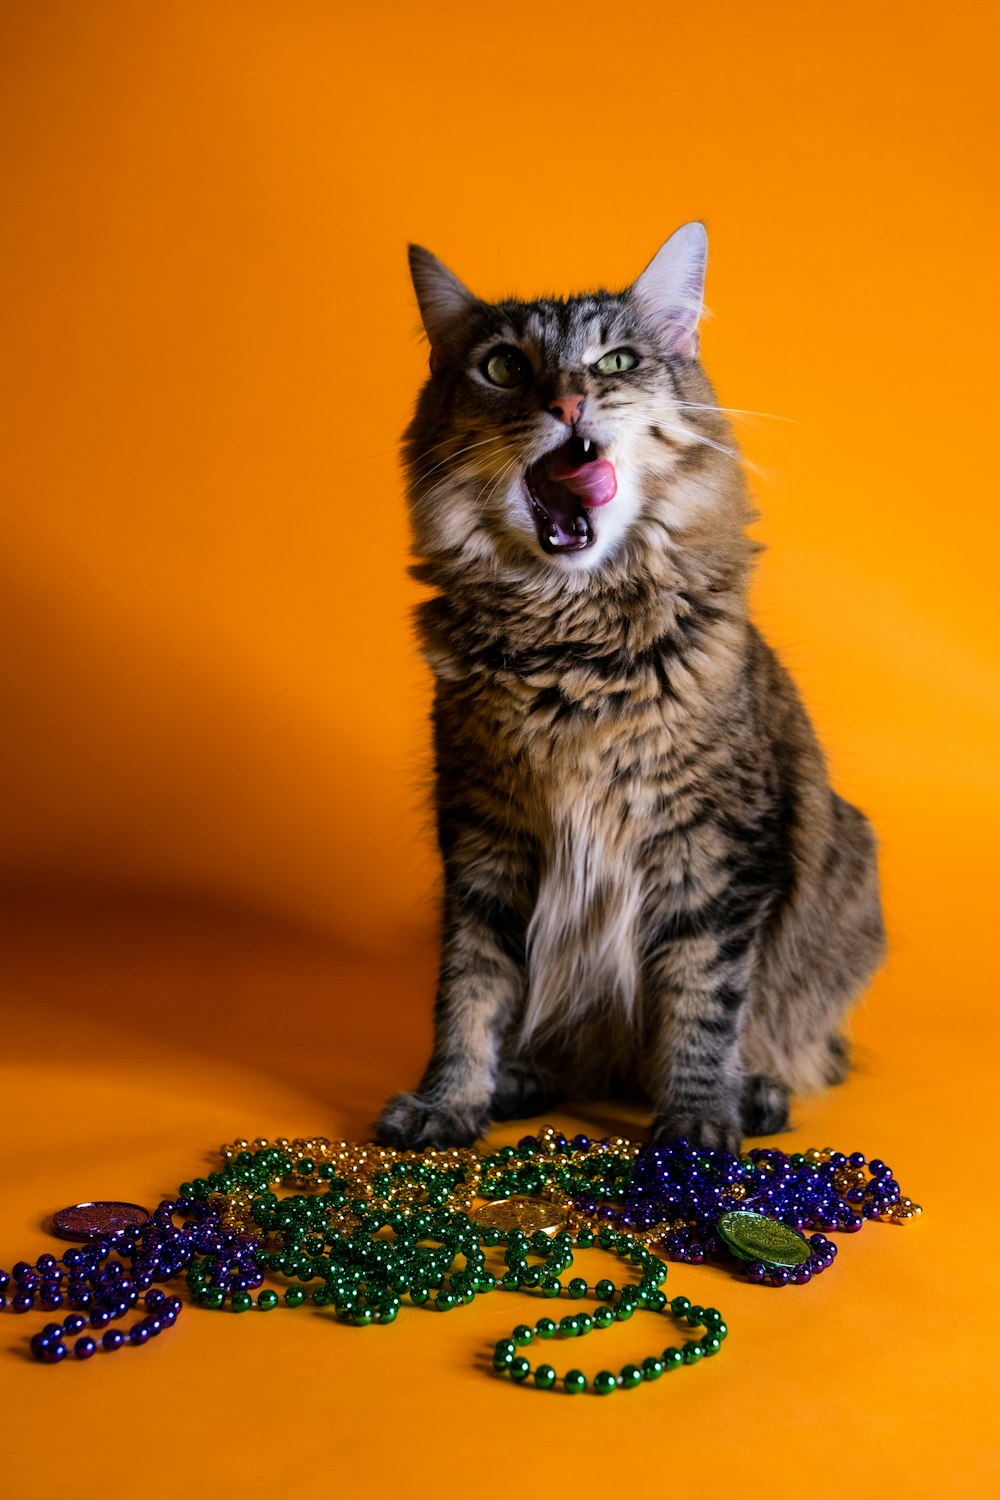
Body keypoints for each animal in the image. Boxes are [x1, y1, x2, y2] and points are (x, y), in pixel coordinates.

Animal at [374, 222, 881, 1152]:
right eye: (504, 367)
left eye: (613, 362)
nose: (568, 405)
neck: (571, 644)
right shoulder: (485, 837)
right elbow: (469, 990)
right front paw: (450, 1099)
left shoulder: (714, 848)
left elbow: (704, 999)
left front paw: (696, 1118)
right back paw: (522, 1079)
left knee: (793, 1042)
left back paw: (755, 1092)